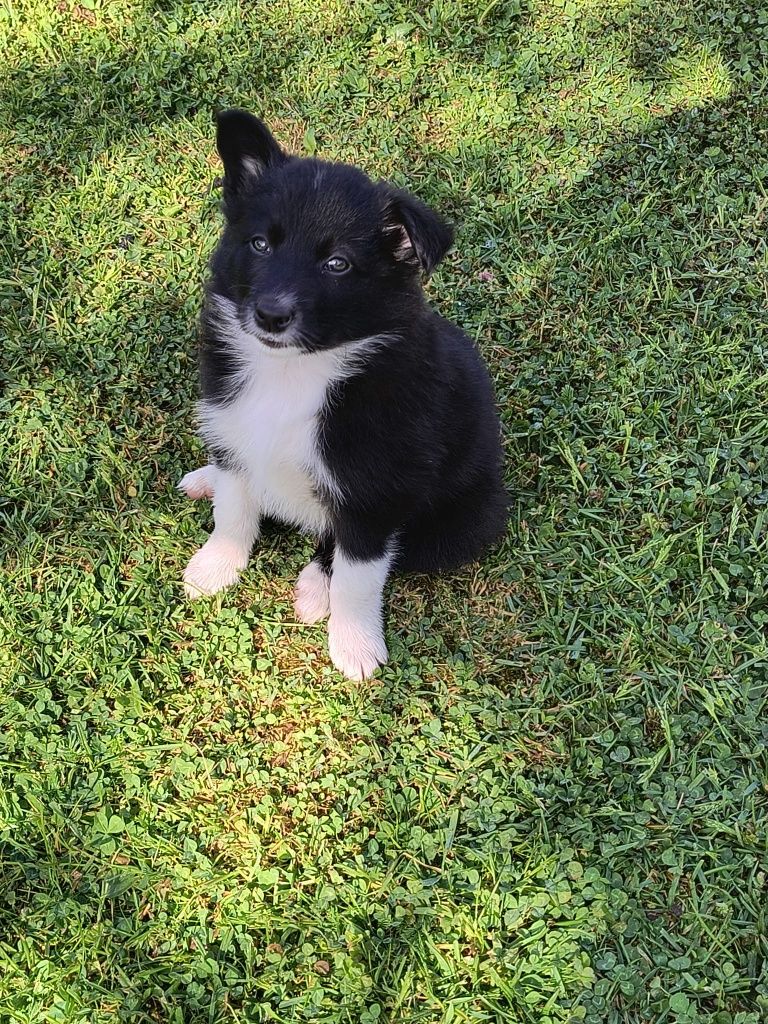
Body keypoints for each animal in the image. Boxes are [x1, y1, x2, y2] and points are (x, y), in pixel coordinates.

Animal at [177, 110, 507, 679]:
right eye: (260, 244)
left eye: (337, 264)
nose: (270, 314)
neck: (295, 370)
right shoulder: (235, 427)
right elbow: (234, 510)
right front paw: (216, 566)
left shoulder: (375, 488)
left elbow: (360, 573)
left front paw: (354, 645)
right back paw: (207, 480)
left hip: (468, 516)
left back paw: (315, 588)